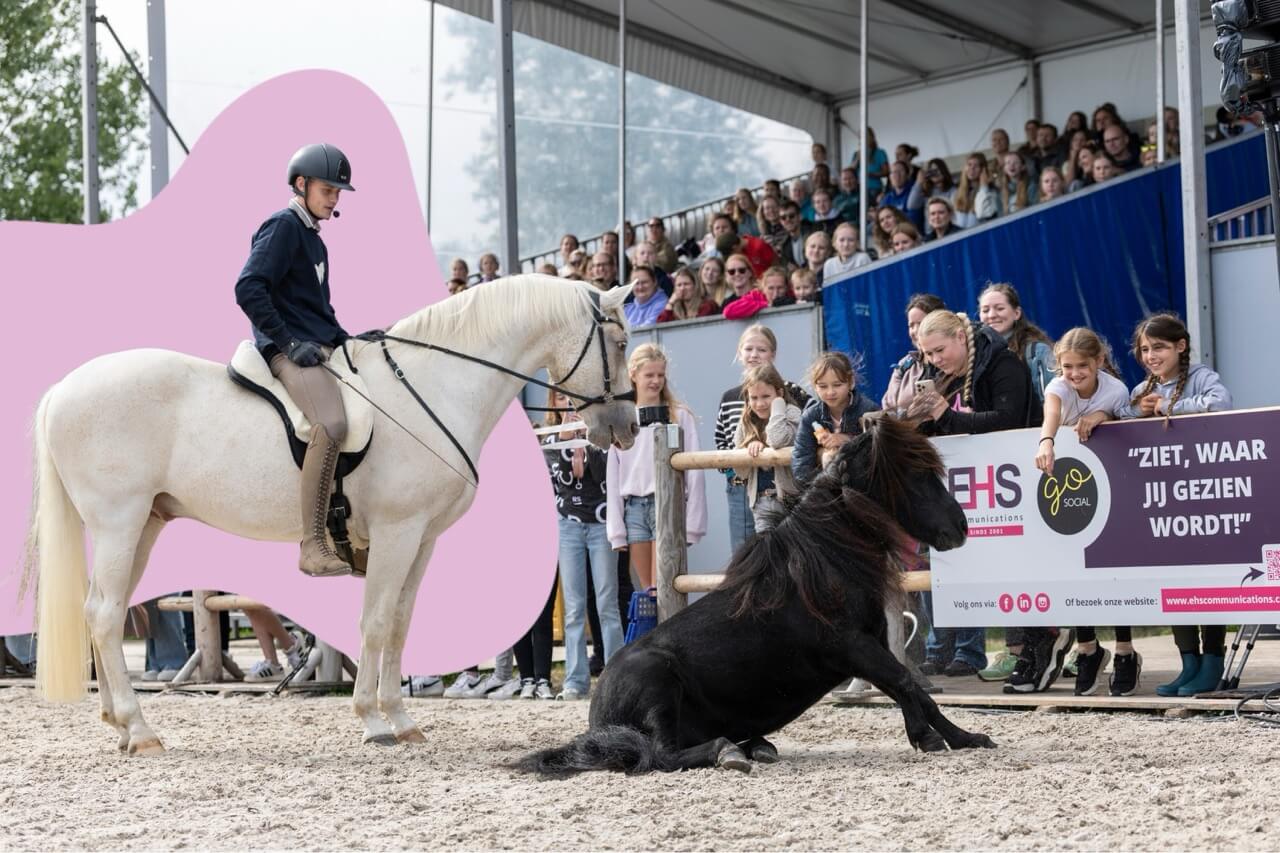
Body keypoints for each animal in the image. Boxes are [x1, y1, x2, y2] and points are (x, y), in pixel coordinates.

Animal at [23, 274, 638, 755]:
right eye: (620, 339)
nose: (628, 427)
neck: (433, 387)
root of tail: (61, 390)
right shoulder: (396, 531)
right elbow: (376, 621)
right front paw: (372, 721)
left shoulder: (423, 538)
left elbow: (401, 622)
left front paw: (401, 719)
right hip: (119, 523)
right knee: (105, 614)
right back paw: (140, 729)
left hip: (144, 524)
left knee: (99, 611)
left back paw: (119, 725)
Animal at [516, 416, 994, 775]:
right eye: (914, 475)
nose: (960, 528)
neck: (824, 563)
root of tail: (597, 719)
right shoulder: (853, 645)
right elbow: (905, 682)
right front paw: (936, 737)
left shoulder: (872, 643)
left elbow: (908, 687)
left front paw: (959, 737)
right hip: (657, 683)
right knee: (661, 755)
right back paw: (728, 751)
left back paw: (756, 746)